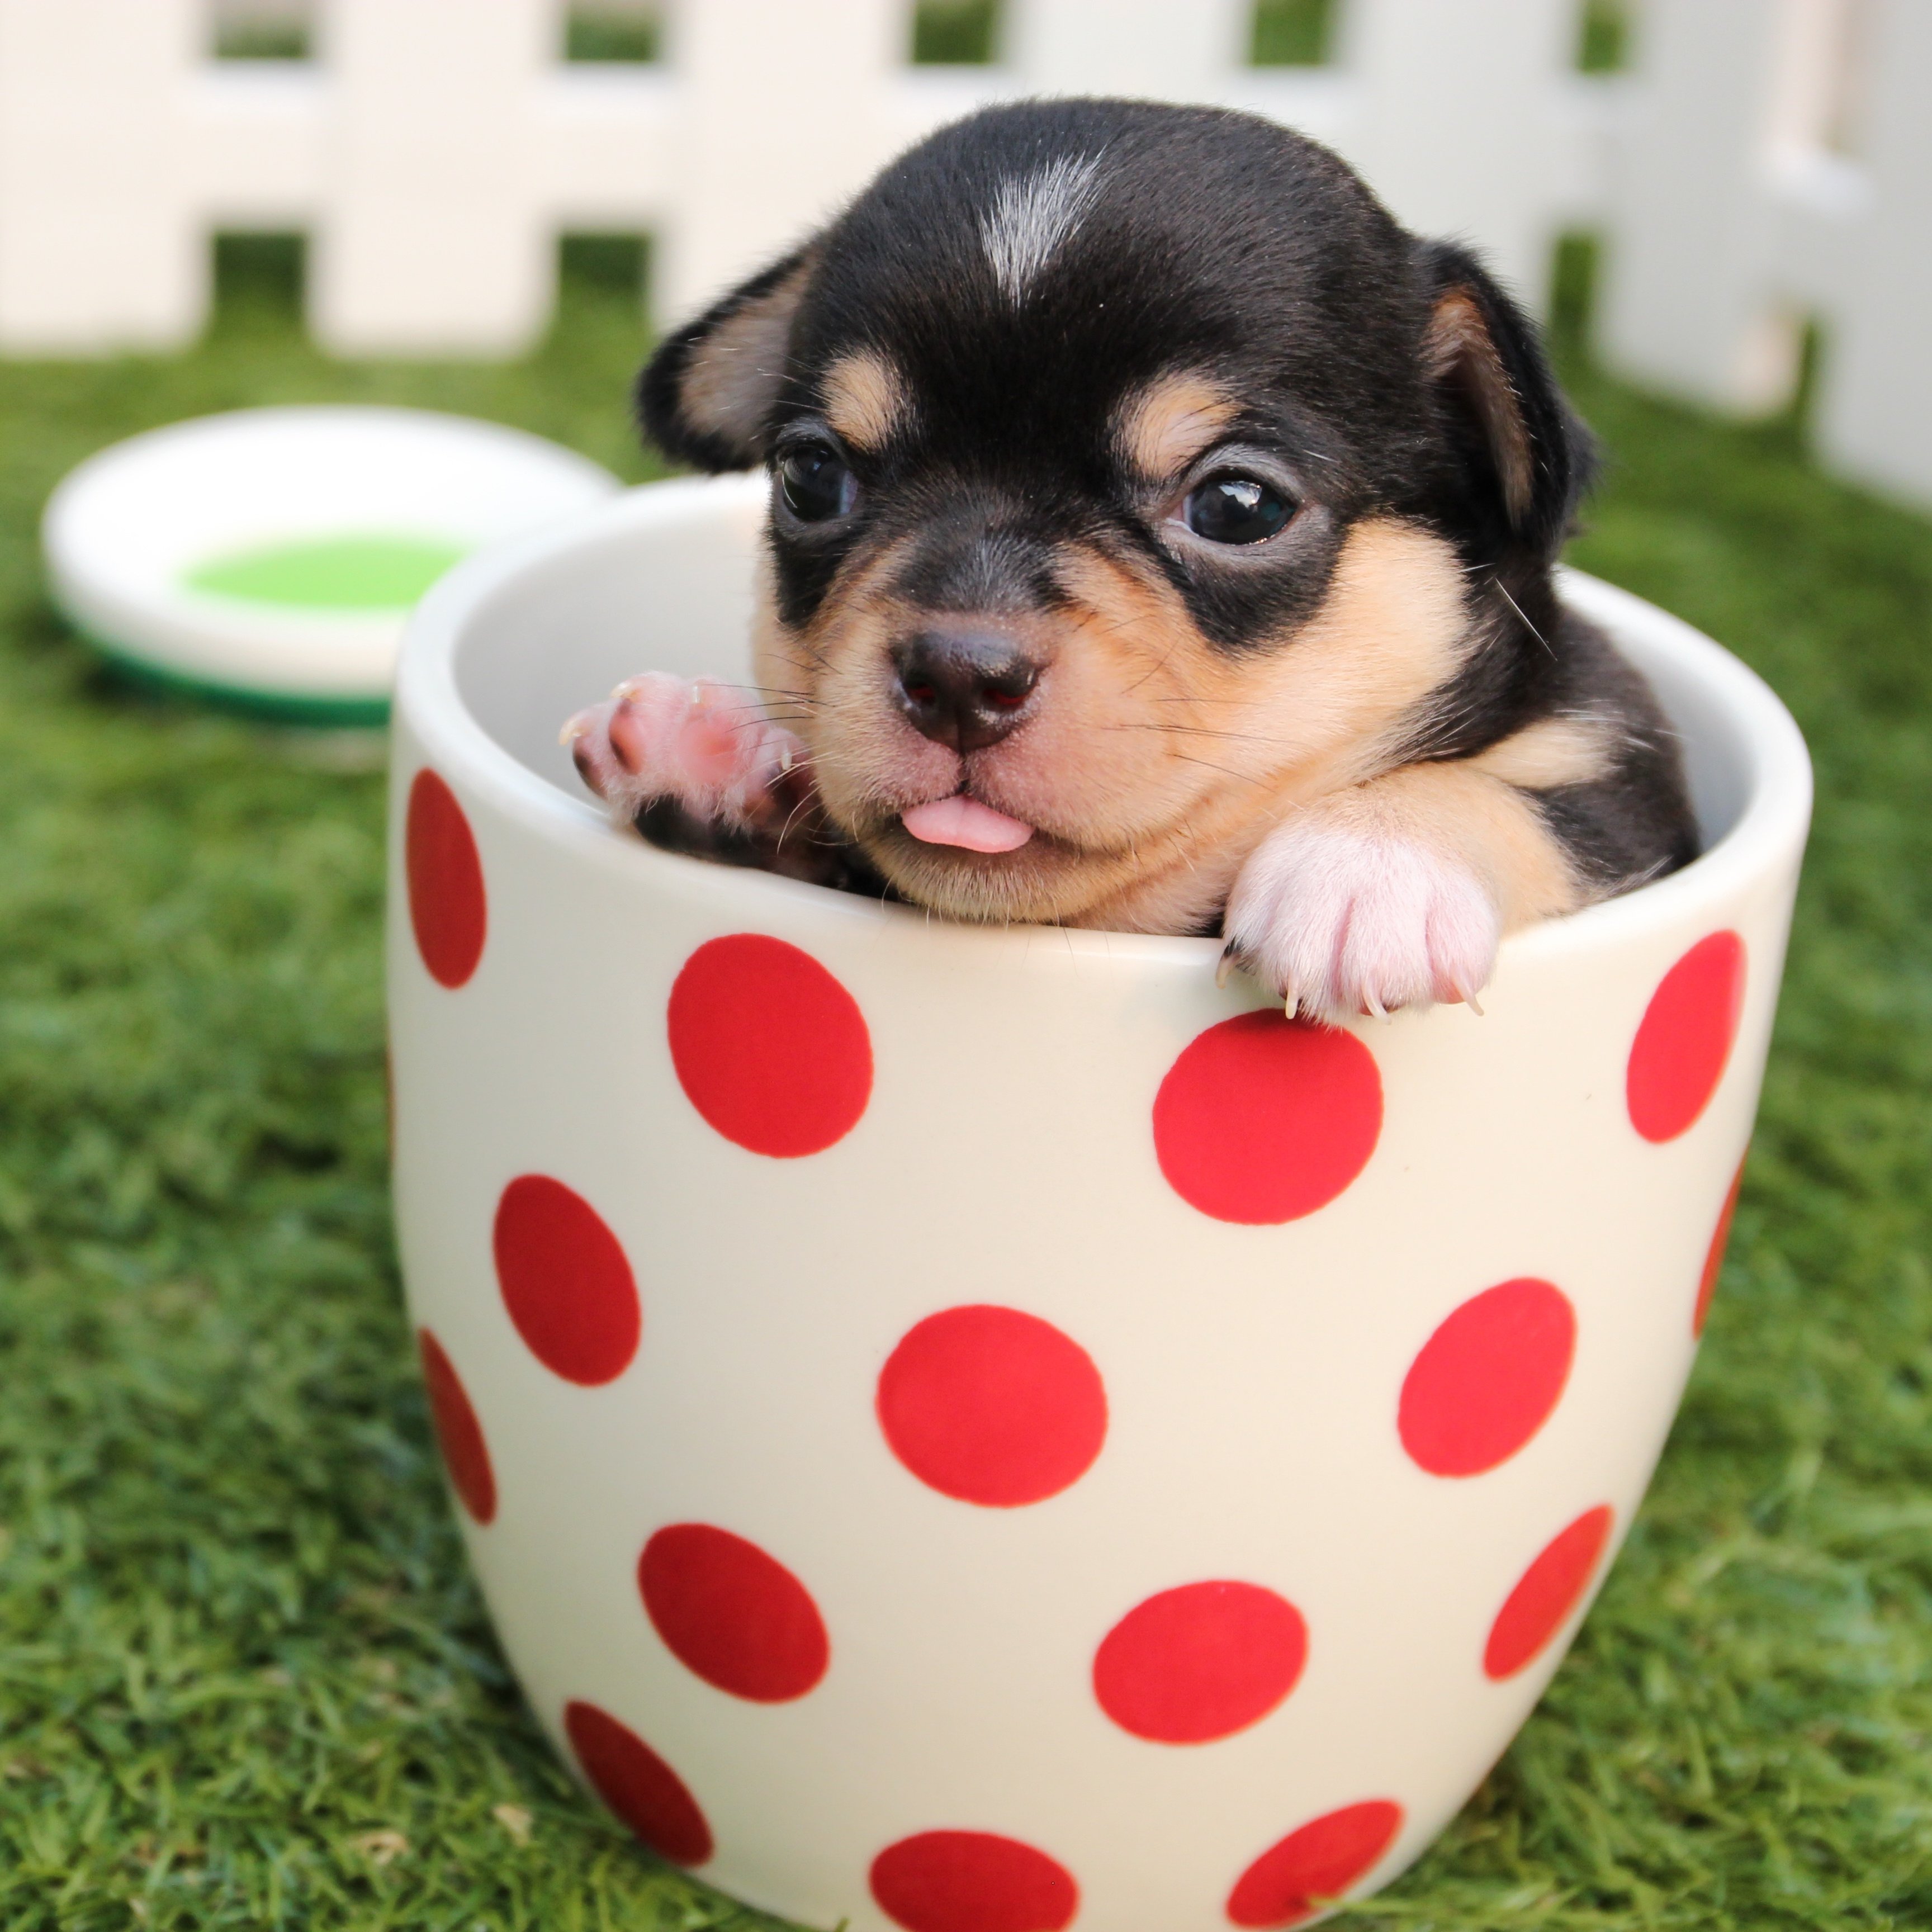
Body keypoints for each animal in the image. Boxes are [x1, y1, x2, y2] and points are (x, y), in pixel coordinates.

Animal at [560, 102, 1692, 1027]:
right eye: (810, 476)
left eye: (1237, 506)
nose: (958, 676)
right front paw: (713, 751)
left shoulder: (1629, 776)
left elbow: (1534, 794)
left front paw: (1370, 864)